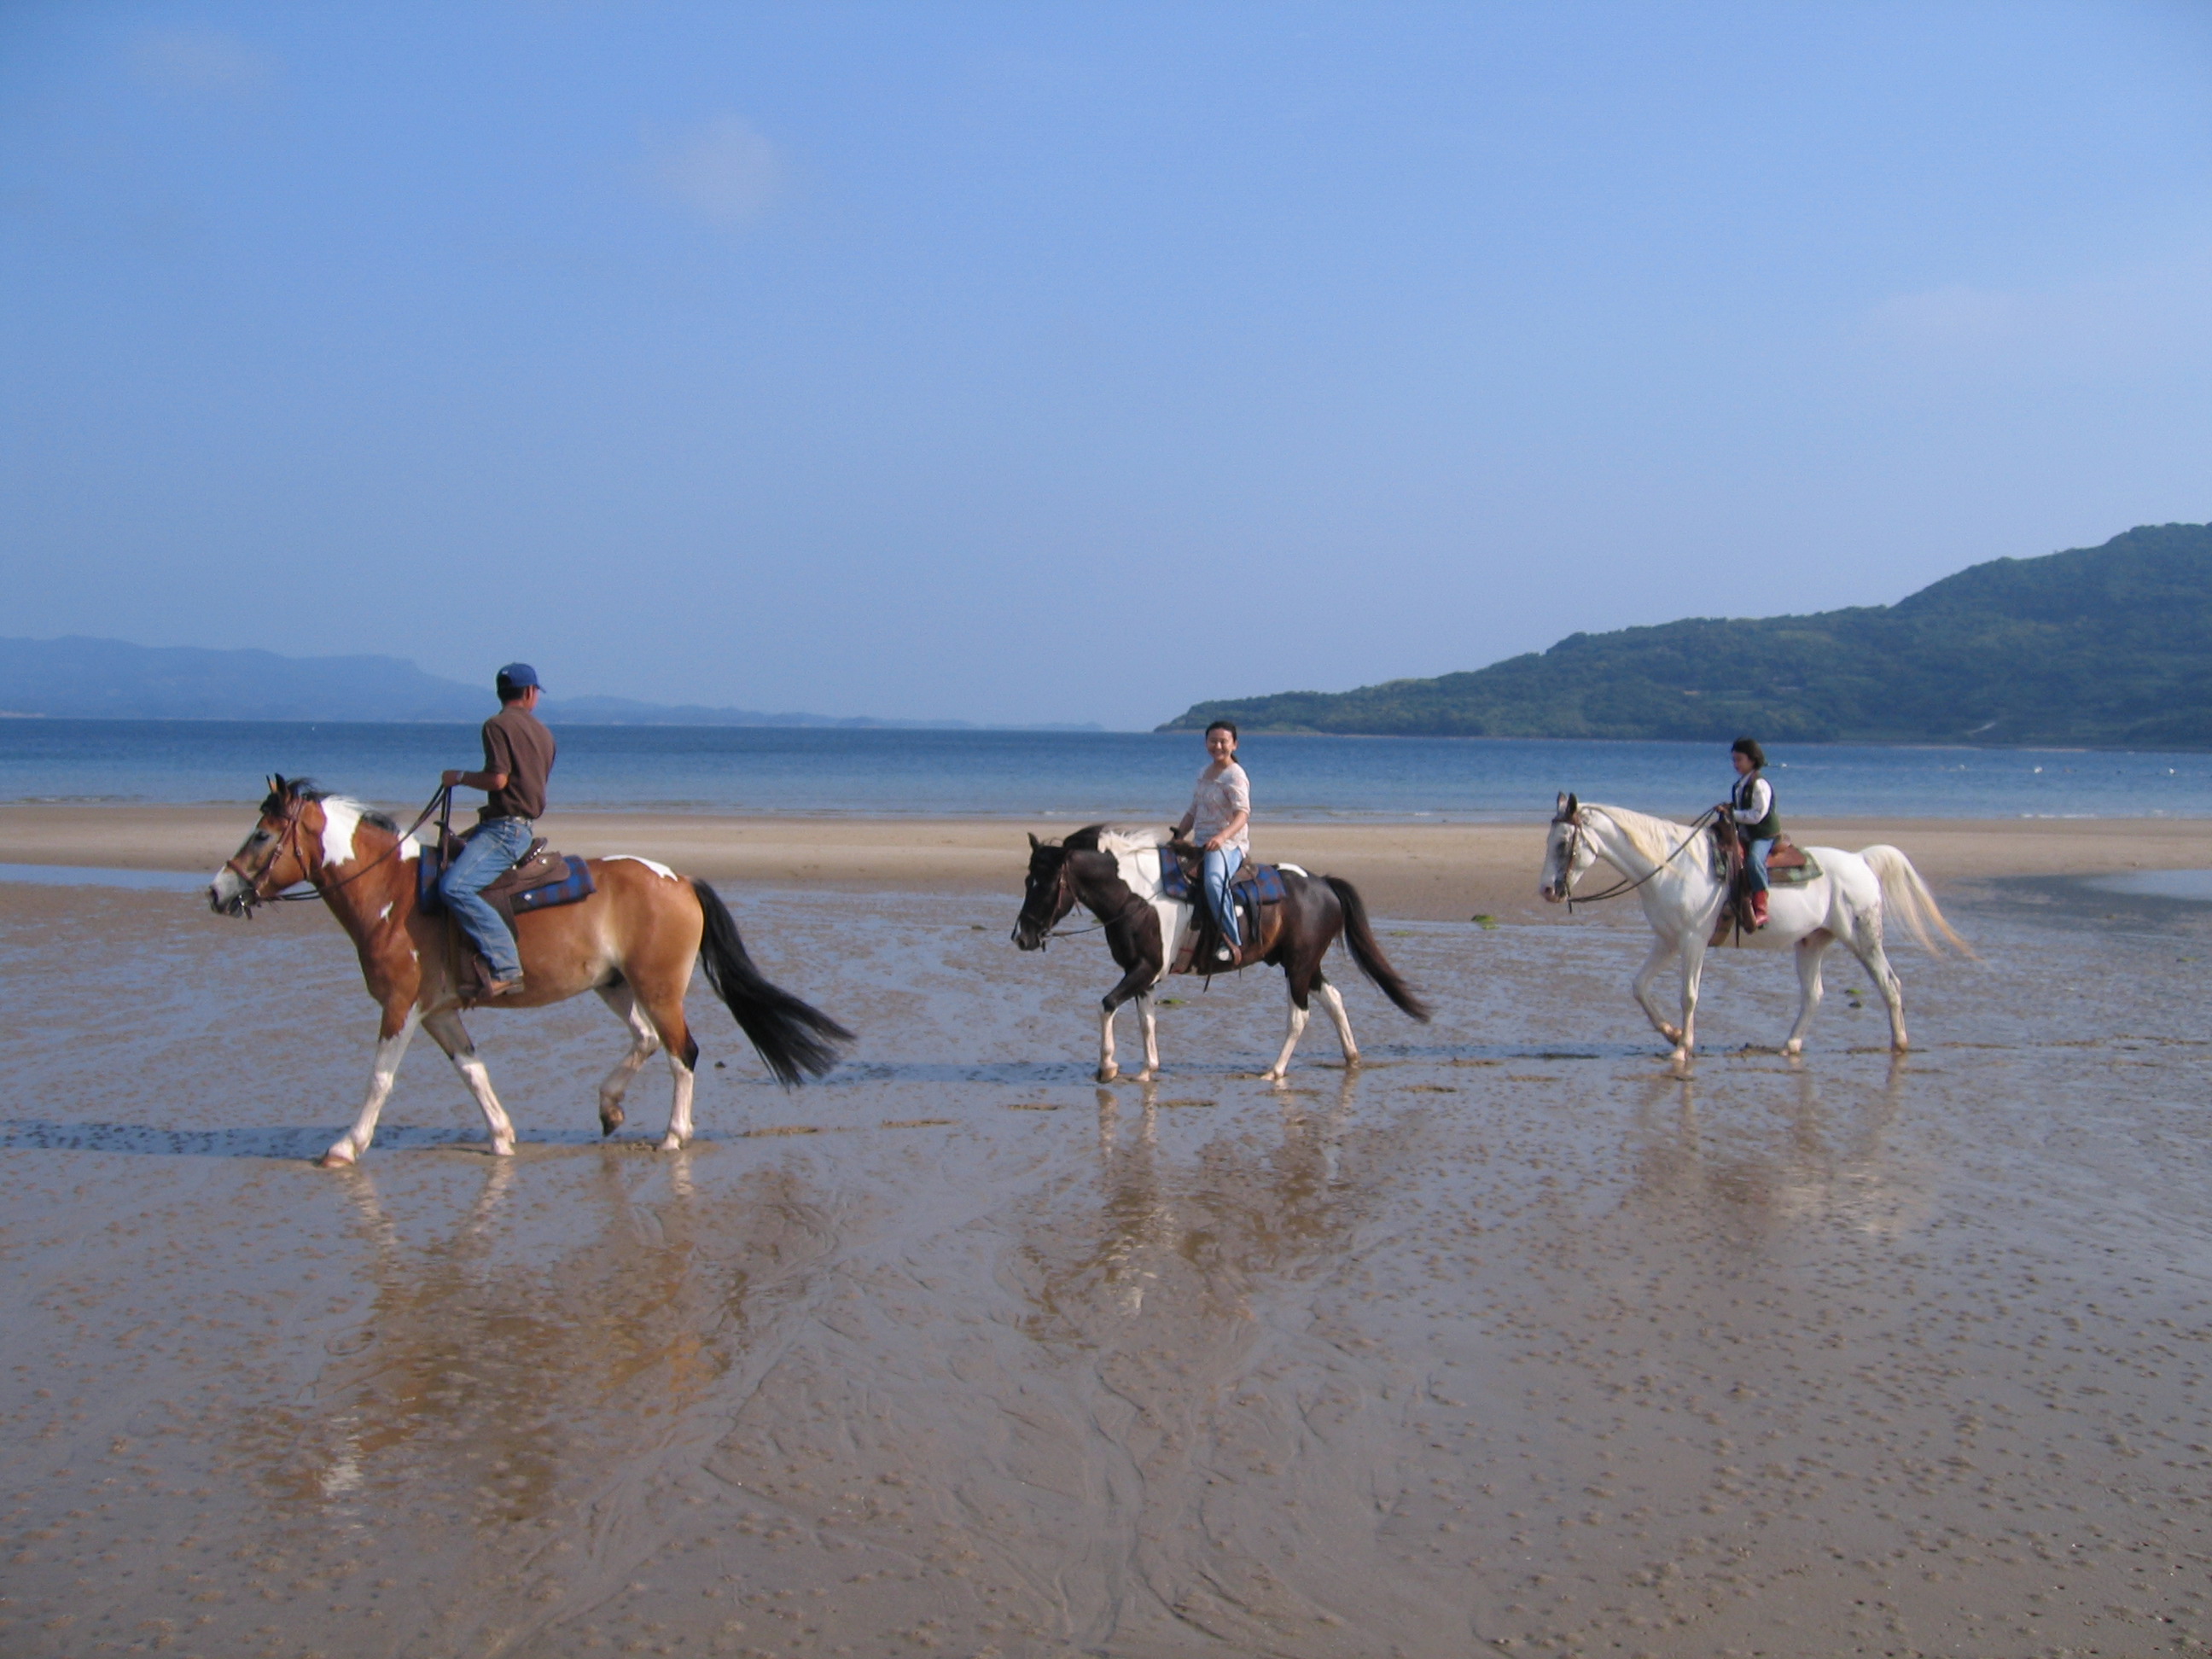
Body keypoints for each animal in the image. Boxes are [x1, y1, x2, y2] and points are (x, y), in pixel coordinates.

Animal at [207, 783, 849, 1159]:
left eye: (262, 834)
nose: (217, 891)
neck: (392, 895)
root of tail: (679, 879)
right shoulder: (439, 1013)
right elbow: (473, 1071)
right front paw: (501, 1135)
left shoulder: (401, 1007)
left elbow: (380, 1080)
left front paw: (346, 1145)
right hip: (614, 986)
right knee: (644, 1041)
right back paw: (609, 1106)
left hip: (660, 989)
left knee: (680, 1053)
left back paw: (673, 1134)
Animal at [1017, 827, 1433, 1084]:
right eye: (1026, 880)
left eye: (1045, 884)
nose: (1021, 936)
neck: (1136, 896)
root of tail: (1324, 884)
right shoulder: (1144, 974)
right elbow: (1146, 1021)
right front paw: (1148, 1070)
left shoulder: (1144, 969)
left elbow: (1106, 1005)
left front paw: (1107, 1066)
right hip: (1302, 963)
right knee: (1333, 999)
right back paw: (1352, 1057)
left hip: (1299, 966)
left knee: (1300, 1015)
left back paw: (1275, 1071)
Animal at [1540, 796, 1973, 1066]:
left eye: (1563, 843)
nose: (1547, 891)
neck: (1672, 866)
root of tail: (1860, 860)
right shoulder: (1667, 940)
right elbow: (1640, 987)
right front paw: (1671, 1033)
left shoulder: (1693, 941)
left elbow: (1689, 995)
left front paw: (1682, 1048)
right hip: (1811, 943)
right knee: (1814, 994)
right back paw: (1790, 1045)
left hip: (1864, 939)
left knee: (1890, 985)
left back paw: (1900, 1044)